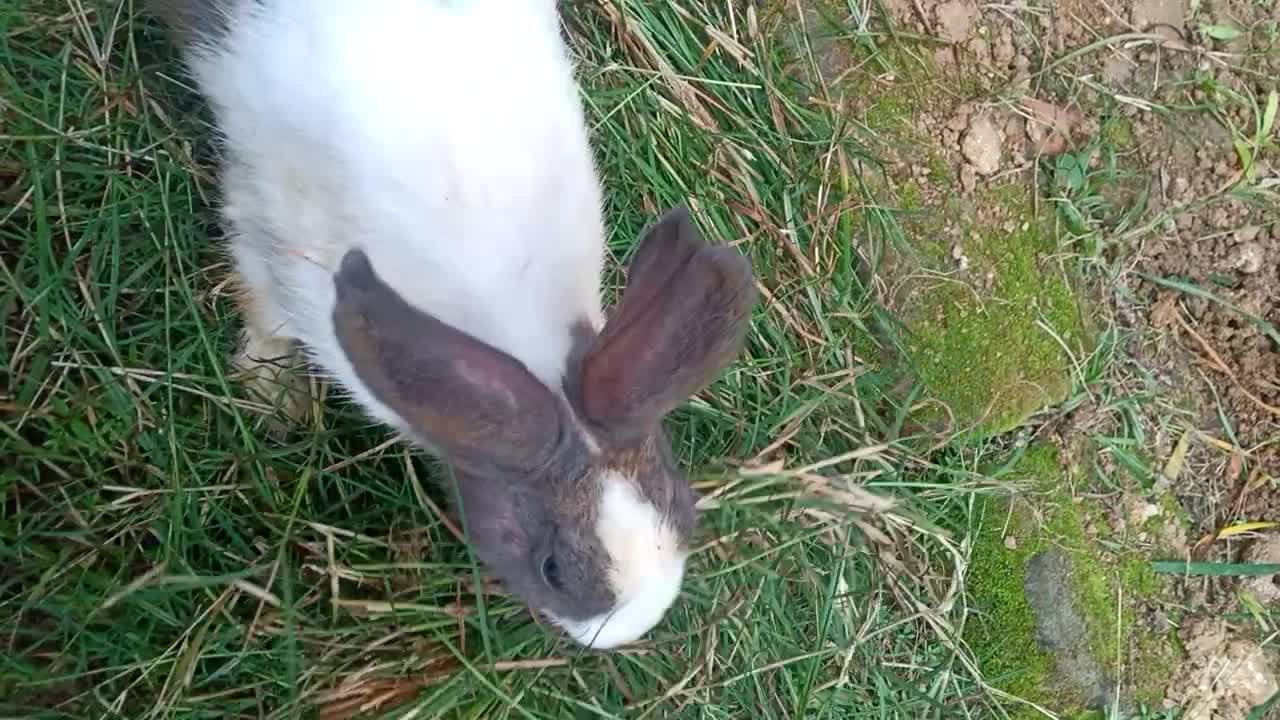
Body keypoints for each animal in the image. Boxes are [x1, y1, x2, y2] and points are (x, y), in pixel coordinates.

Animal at [145, 0, 752, 648]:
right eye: (552, 568)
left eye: (684, 507)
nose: (625, 632)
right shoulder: (270, 224)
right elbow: (262, 297)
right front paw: (271, 392)